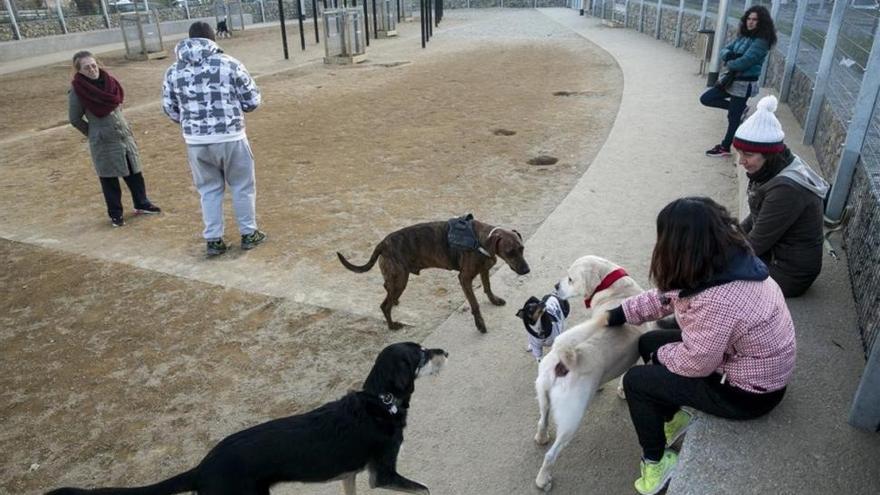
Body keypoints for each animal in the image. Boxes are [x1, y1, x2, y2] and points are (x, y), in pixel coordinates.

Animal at [43, 342, 446, 494]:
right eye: (421, 354)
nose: (444, 351)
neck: (382, 401)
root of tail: (202, 467)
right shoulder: (384, 474)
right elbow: (425, 489)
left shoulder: (352, 475)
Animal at [532, 256, 648, 492]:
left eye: (570, 279)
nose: (555, 286)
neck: (616, 289)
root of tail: (566, 357)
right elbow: (626, 375)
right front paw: (622, 391)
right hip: (572, 419)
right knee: (551, 455)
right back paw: (543, 480)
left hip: (543, 391)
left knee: (543, 419)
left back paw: (541, 437)